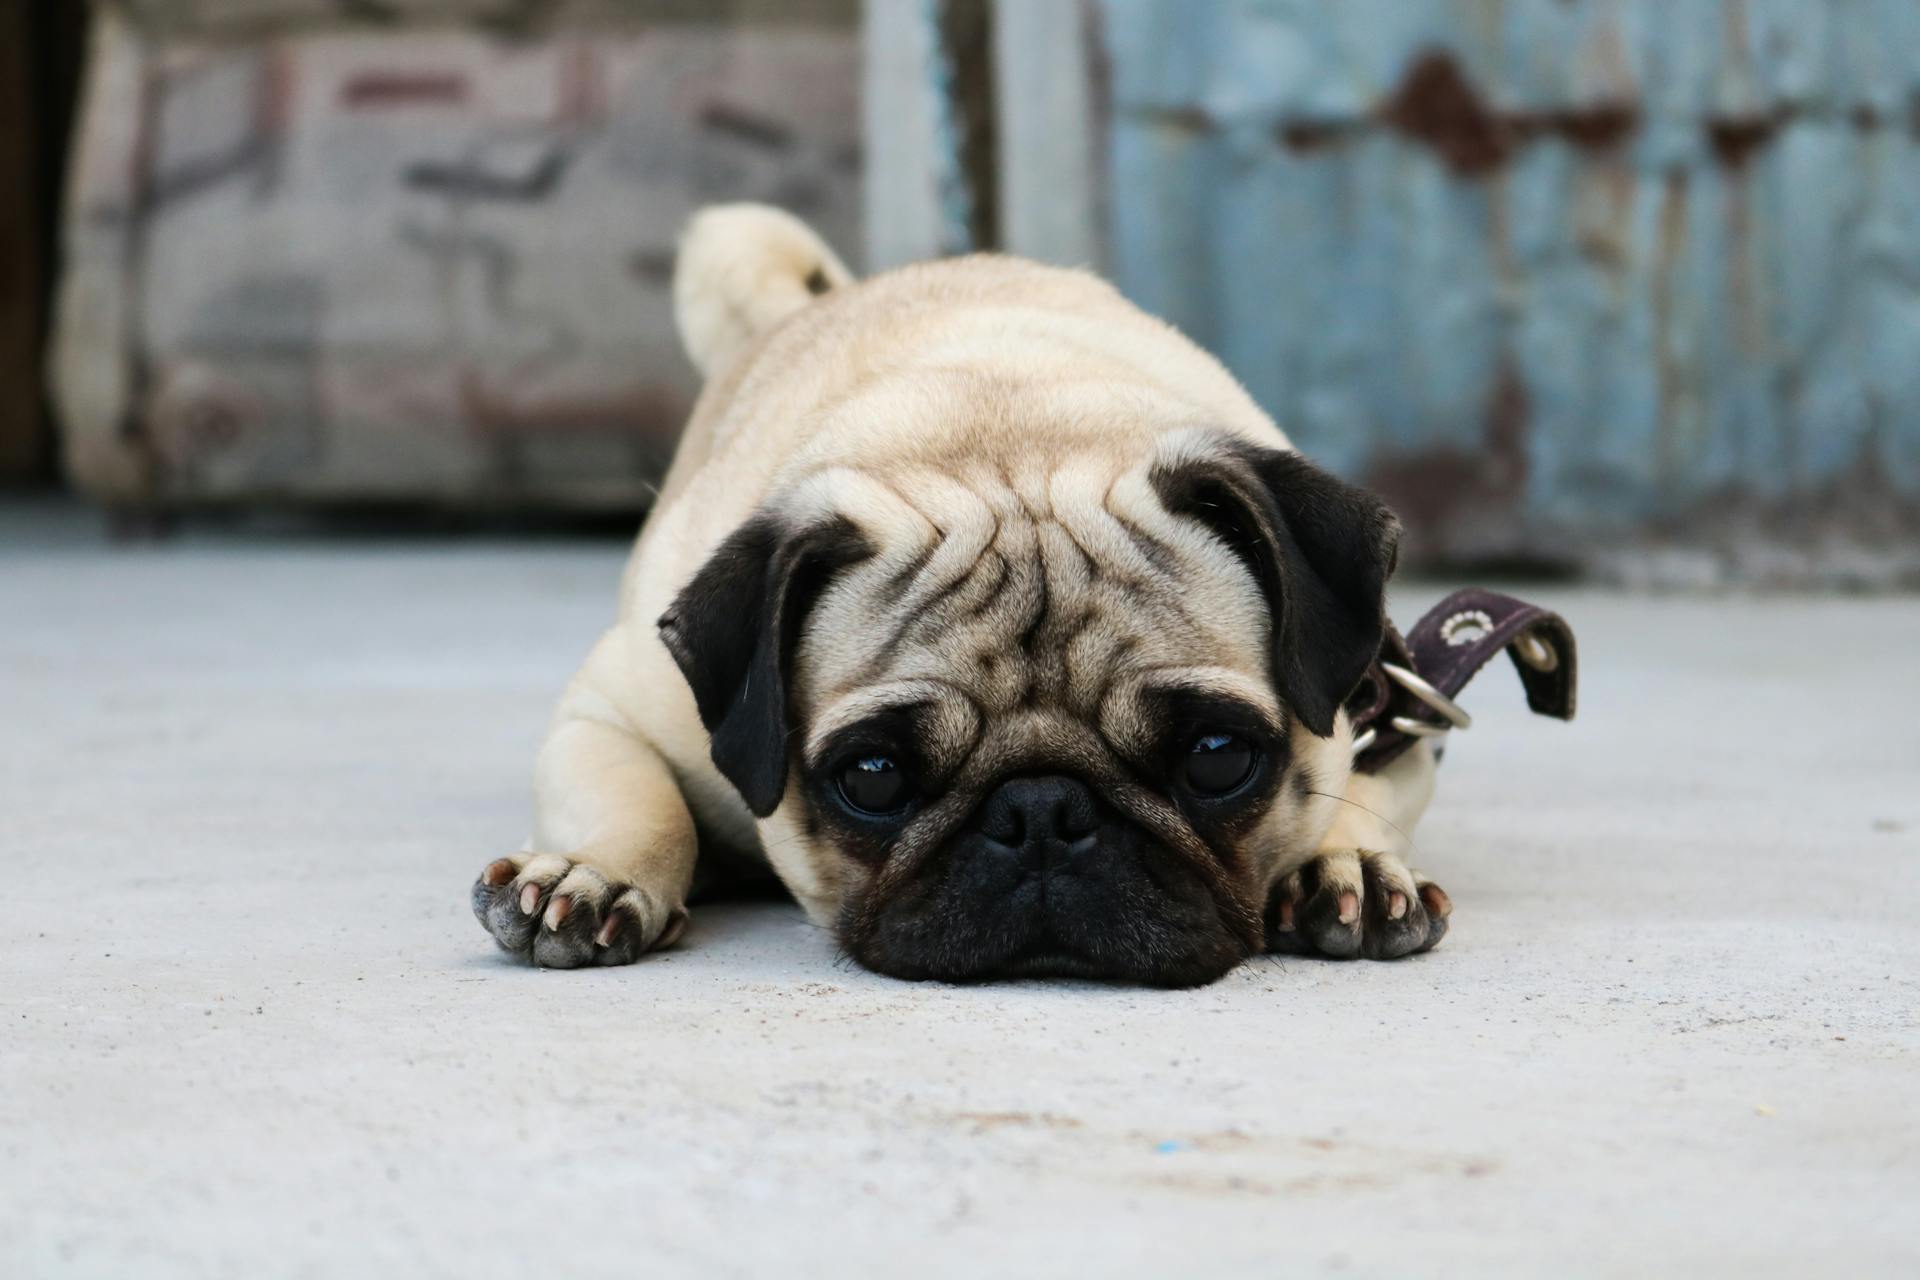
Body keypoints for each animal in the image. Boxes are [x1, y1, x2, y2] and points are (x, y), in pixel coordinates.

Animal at [472, 202, 1443, 990]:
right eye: (873, 777)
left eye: (1215, 756)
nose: (1042, 812)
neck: (1002, 431)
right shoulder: (619, 707)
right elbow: (635, 796)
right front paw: (595, 871)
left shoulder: (1391, 705)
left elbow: (1365, 787)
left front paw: (1345, 863)